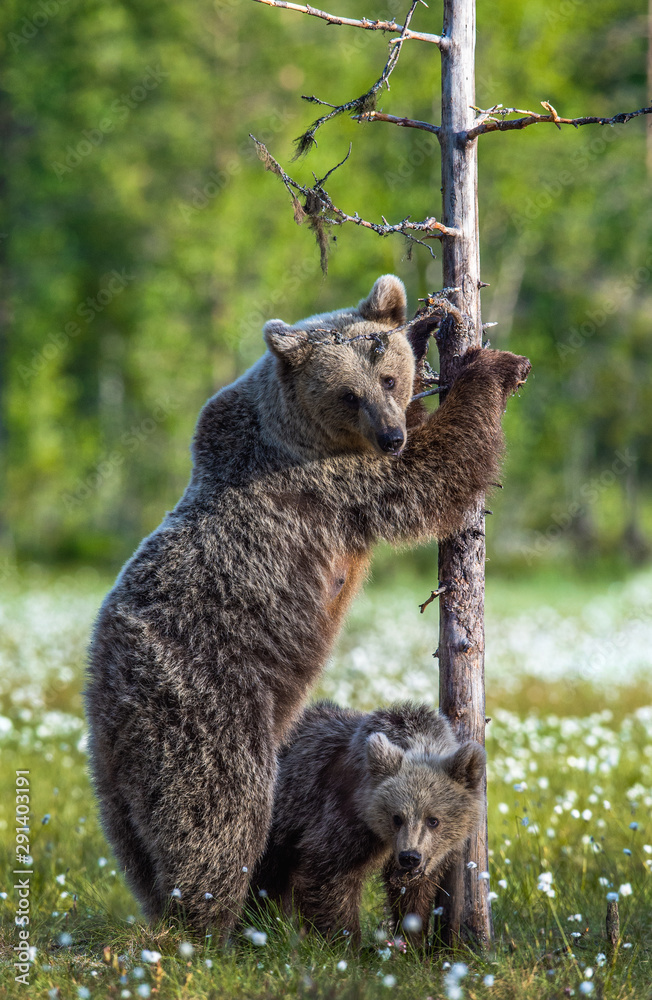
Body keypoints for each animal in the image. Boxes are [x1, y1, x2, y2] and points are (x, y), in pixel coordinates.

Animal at [250, 701, 485, 946]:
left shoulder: (429, 856)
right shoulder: (343, 821)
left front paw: (412, 941)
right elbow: (330, 877)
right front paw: (347, 943)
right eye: (396, 817)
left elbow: (415, 894)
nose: (410, 857)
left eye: (433, 820)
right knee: (267, 879)